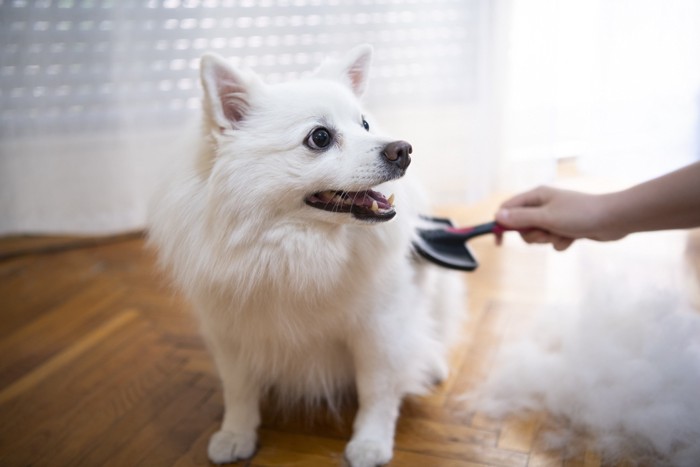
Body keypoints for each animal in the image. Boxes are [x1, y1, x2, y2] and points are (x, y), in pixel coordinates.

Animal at [149, 44, 464, 467]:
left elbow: (377, 391)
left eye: (365, 124)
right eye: (320, 137)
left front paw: (371, 442)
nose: (403, 149)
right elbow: (238, 391)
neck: (297, 249)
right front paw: (235, 434)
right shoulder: (229, 332)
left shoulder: (380, 329)